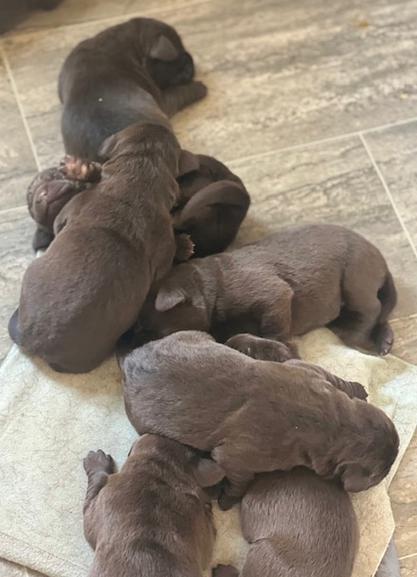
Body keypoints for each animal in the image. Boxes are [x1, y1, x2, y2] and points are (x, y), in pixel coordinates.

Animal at [137, 222, 396, 354]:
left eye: (148, 329)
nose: (129, 346)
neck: (209, 288)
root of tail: (382, 261)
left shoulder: (274, 294)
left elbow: (274, 328)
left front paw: (281, 347)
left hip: (355, 276)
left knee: (372, 308)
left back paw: (356, 336)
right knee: (380, 312)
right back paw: (384, 340)